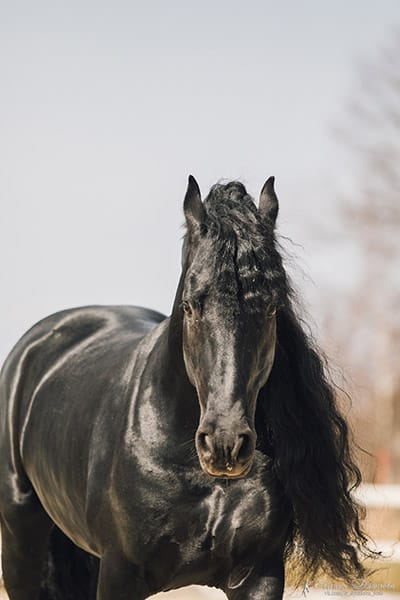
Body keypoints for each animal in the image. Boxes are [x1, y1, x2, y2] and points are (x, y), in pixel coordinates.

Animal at [1, 176, 374, 596]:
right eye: (191, 304)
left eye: (271, 307)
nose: (225, 444)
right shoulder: (120, 572)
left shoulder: (259, 575)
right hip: (21, 539)